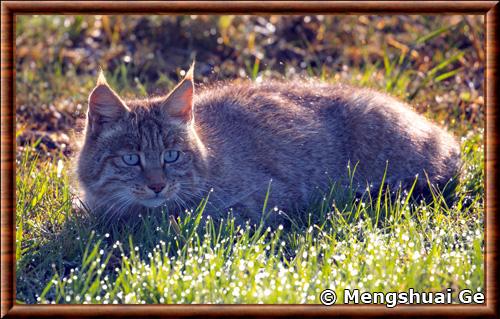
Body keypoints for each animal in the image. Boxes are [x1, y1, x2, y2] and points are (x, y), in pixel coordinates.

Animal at [76, 63, 462, 225]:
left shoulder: (268, 199)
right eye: (131, 159)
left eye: (172, 156)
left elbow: (193, 220)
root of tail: (447, 137)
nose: (157, 186)